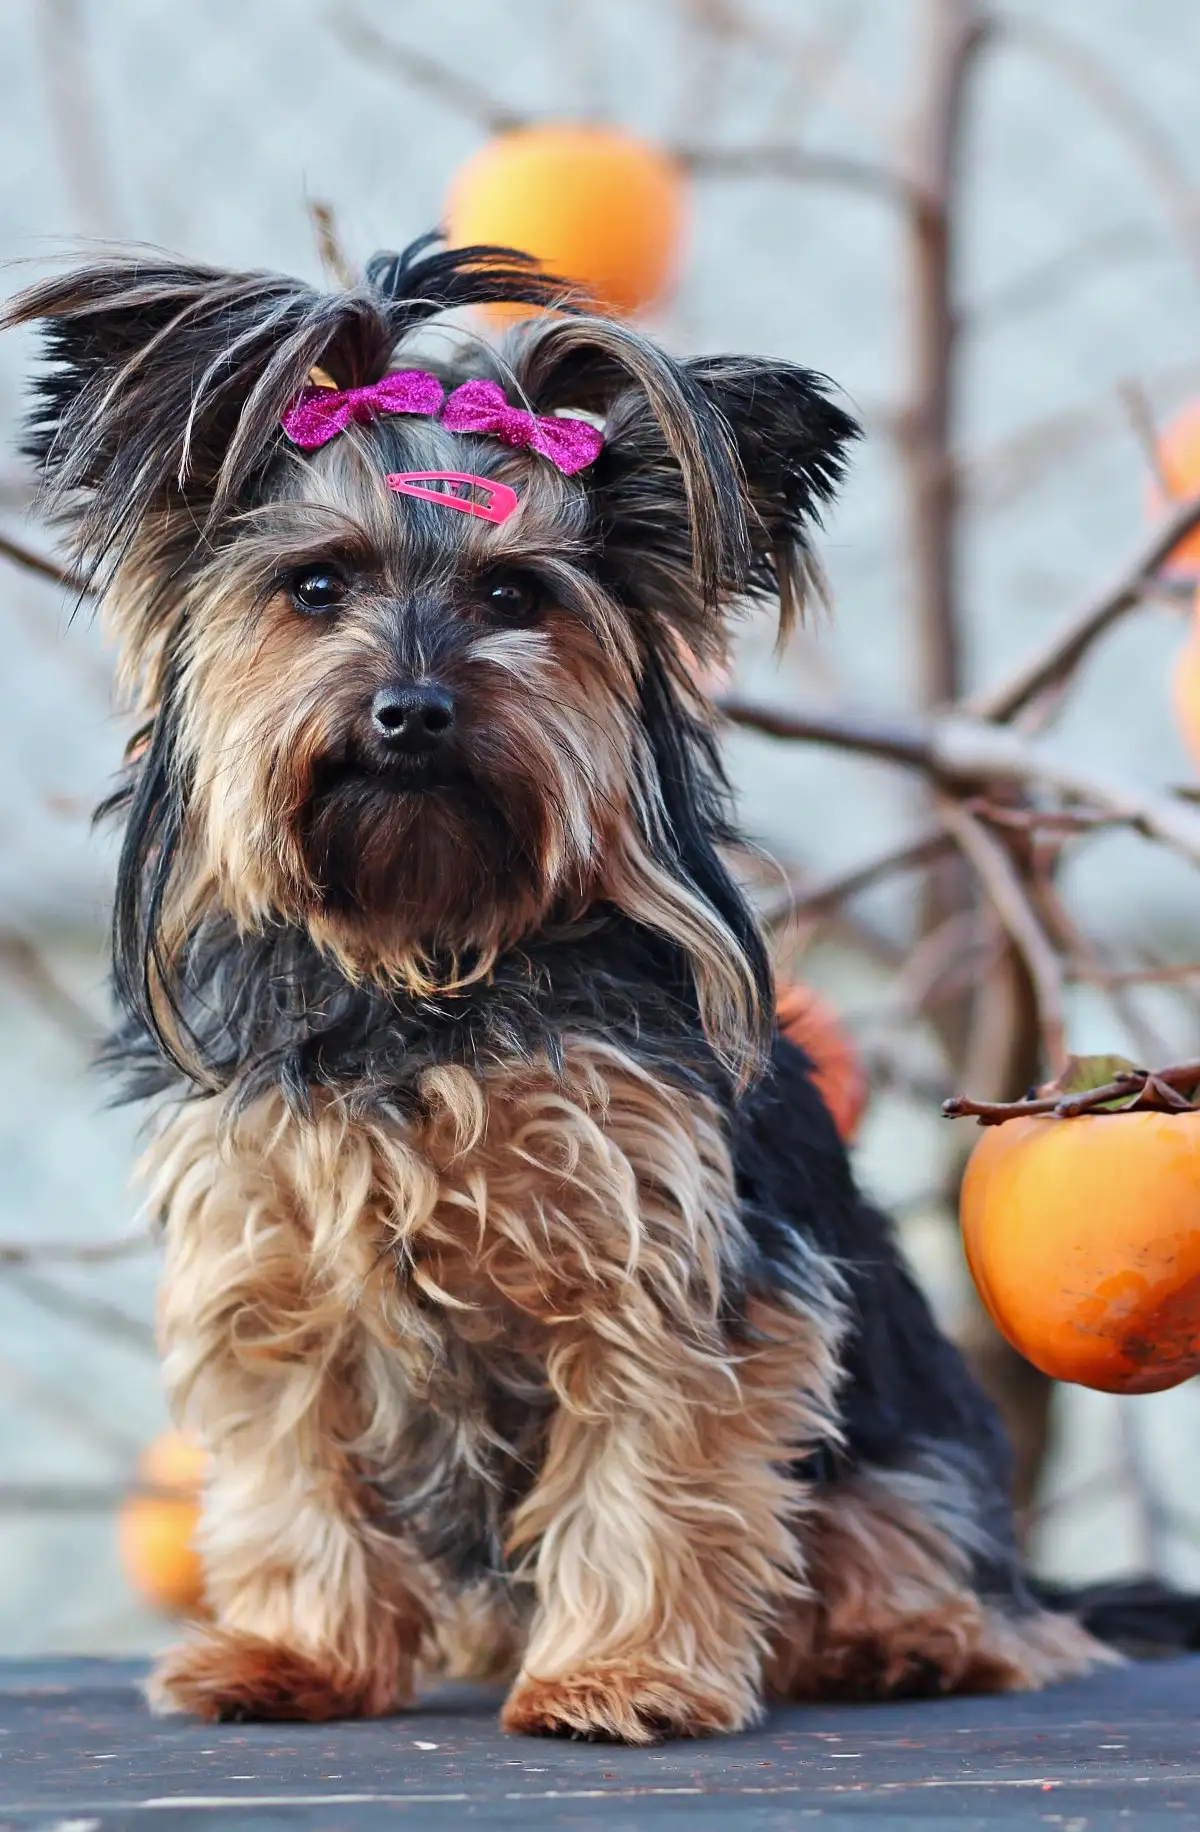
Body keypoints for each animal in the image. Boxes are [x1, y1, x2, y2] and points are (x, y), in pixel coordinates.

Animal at [4, 236, 1113, 1736]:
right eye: (316, 588)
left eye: (514, 596)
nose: (411, 708)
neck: (424, 956)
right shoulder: (269, 1259)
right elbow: (292, 1462)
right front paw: (293, 1655)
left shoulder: (663, 1249)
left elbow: (654, 1455)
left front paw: (619, 1675)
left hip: (911, 1440)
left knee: (941, 1561)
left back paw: (902, 1637)